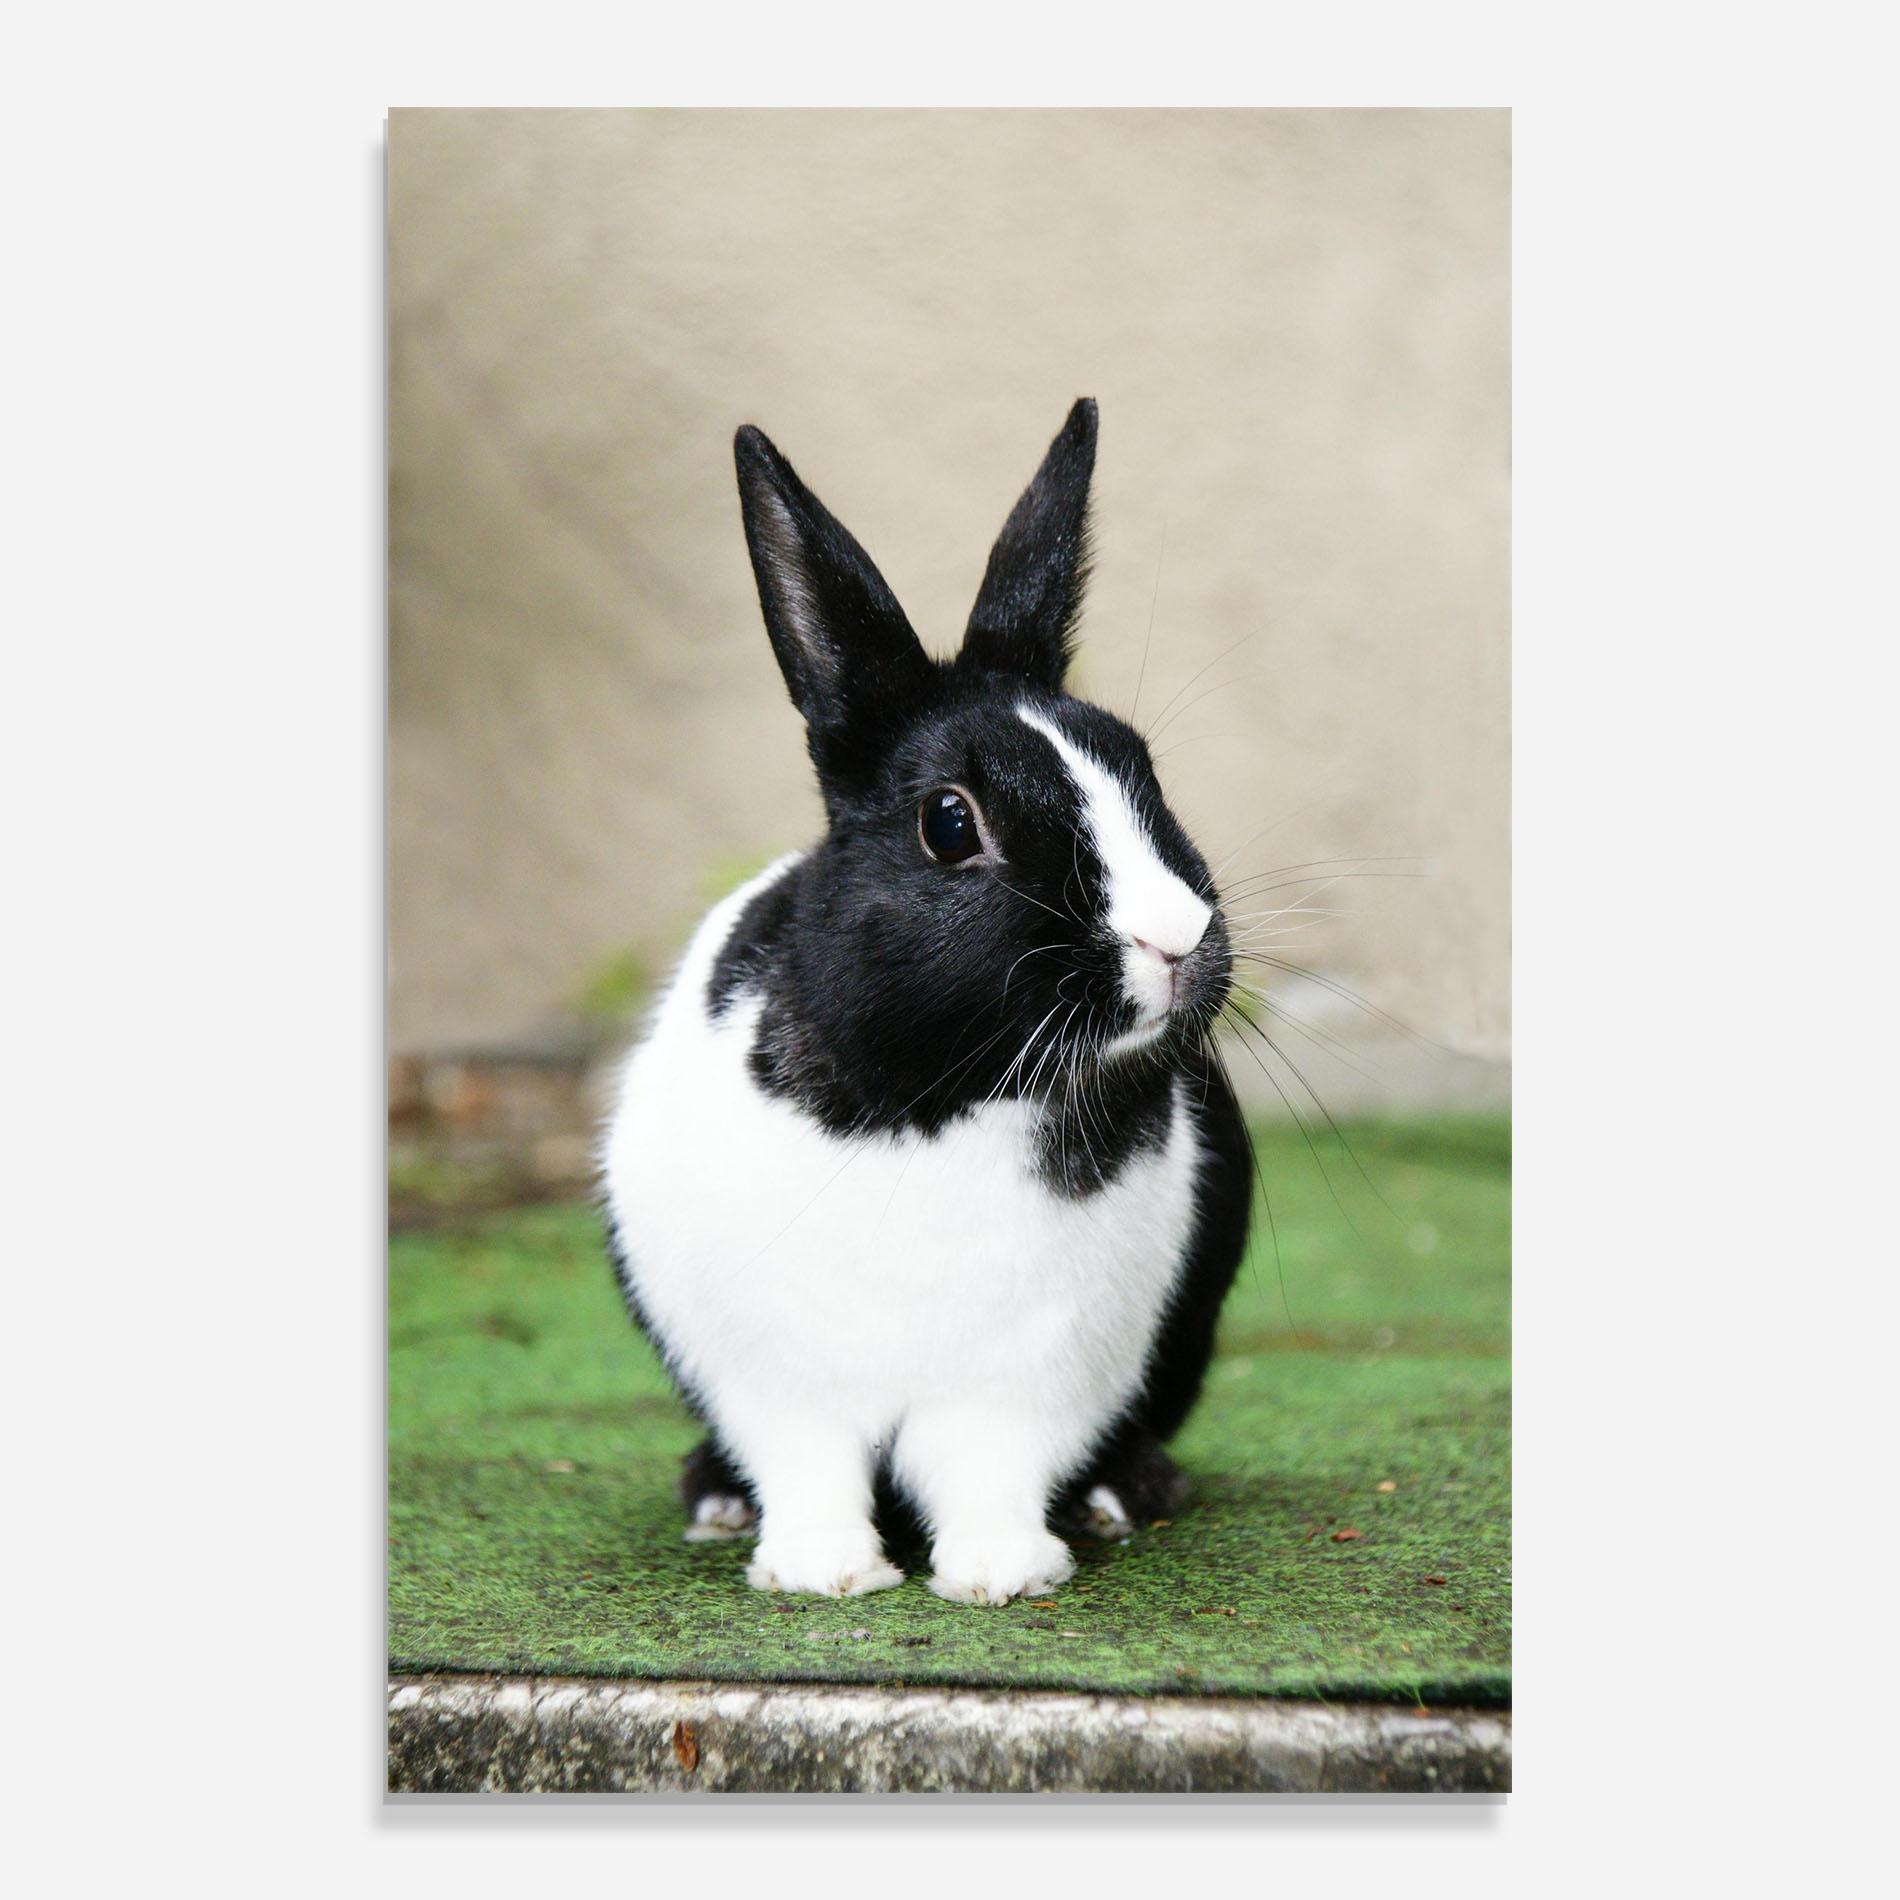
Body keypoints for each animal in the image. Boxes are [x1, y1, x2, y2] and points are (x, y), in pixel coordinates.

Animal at [600, 399, 1252, 1604]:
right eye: (951, 823)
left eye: (1142, 769)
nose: (1178, 940)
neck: (938, 1098)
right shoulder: (778, 1379)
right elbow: (808, 1467)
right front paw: (821, 1573)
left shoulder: (1027, 1379)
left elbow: (990, 1470)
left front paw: (1001, 1574)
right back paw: (714, 1500)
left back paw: (1122, 1494)